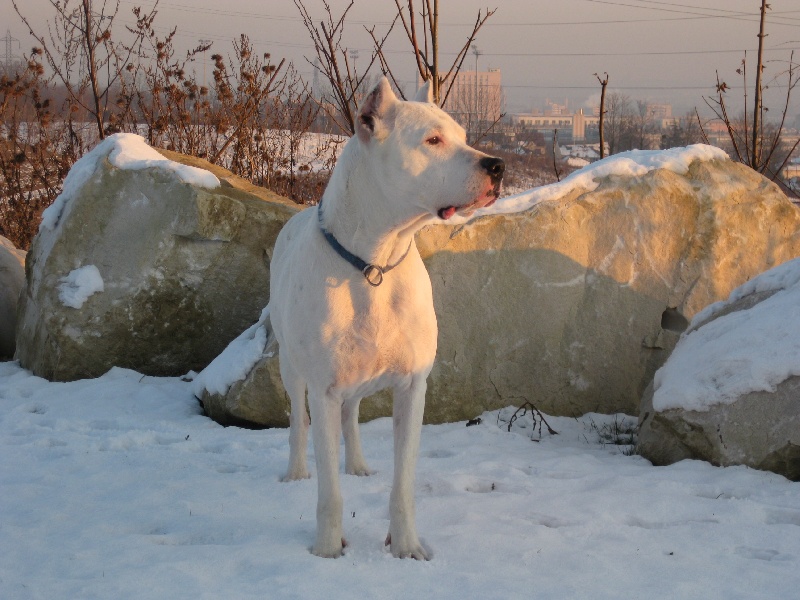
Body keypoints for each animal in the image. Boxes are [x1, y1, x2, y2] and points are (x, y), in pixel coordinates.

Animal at [272, 77, 504, 560]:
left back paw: (358, 463)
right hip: (291, 368)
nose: (498, 165)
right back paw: (296, 471)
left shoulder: (412, 388)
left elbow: (404, 485)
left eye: (462, 135)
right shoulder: (322, 390)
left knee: (352, 414)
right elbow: (329, 491)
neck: (373, 262)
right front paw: (327, 550)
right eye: (432, 140)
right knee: (298, 424)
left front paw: (406, 545)